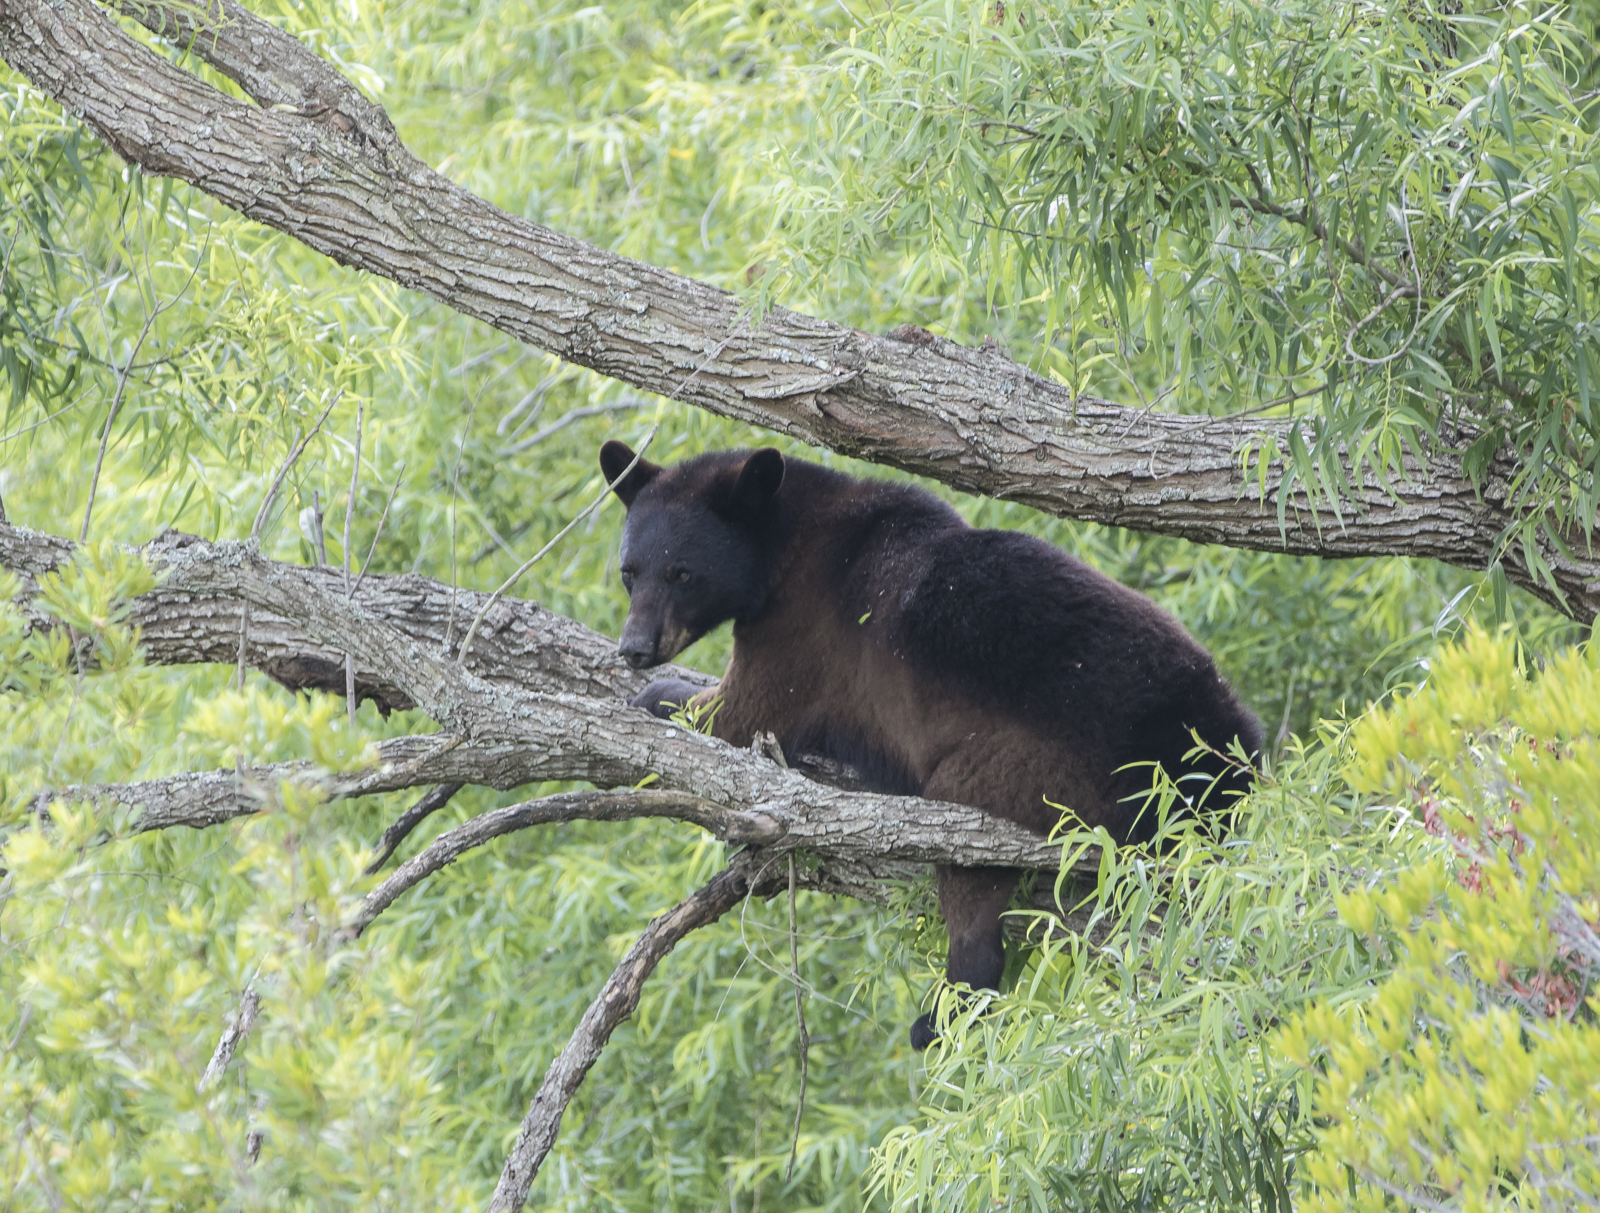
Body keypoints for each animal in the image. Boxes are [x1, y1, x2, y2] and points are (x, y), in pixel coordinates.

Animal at [599, 440, 1263, 1050]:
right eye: (629, 571)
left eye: (682, 573)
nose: (635, 647)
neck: (784, 544)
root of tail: (1203, 757)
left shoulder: (801, 630)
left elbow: (741, 713)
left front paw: (660, 694)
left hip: (1031, 771)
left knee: (970, 874)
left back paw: (947, 1007)